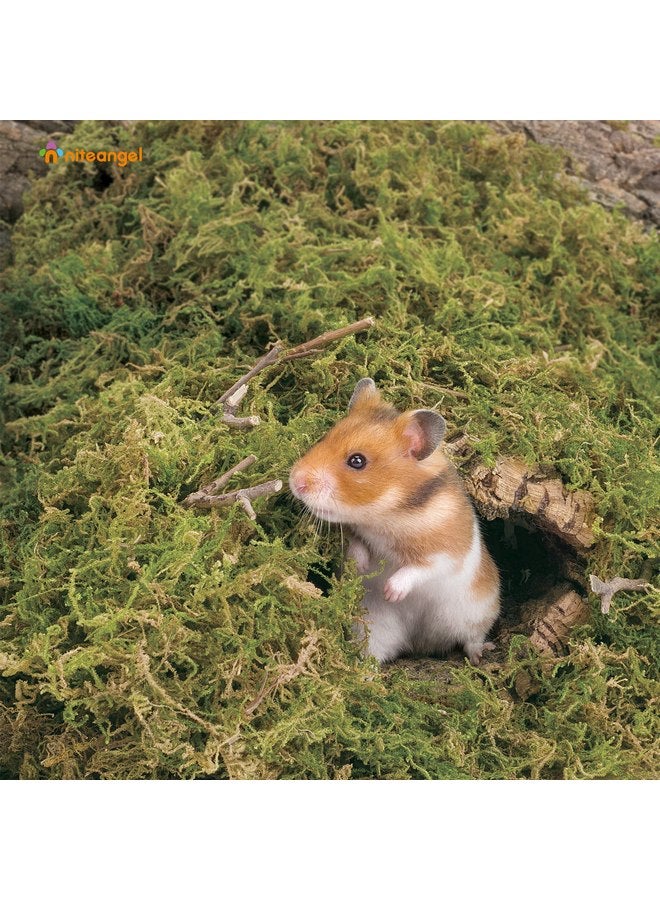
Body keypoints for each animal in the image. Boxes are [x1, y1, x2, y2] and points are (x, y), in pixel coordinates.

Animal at [289, 378, 500, 664]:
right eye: (324, 437)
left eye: (357, 461)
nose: (294, 482)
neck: (388, 515)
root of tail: (421, 644)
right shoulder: (358, 531)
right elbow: (355, 544)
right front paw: (360, 566)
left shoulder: (447, 553)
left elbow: (420, 569)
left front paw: (392, 593)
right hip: (375, 628)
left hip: (475, 612)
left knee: (471, 639)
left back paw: (481, 656)